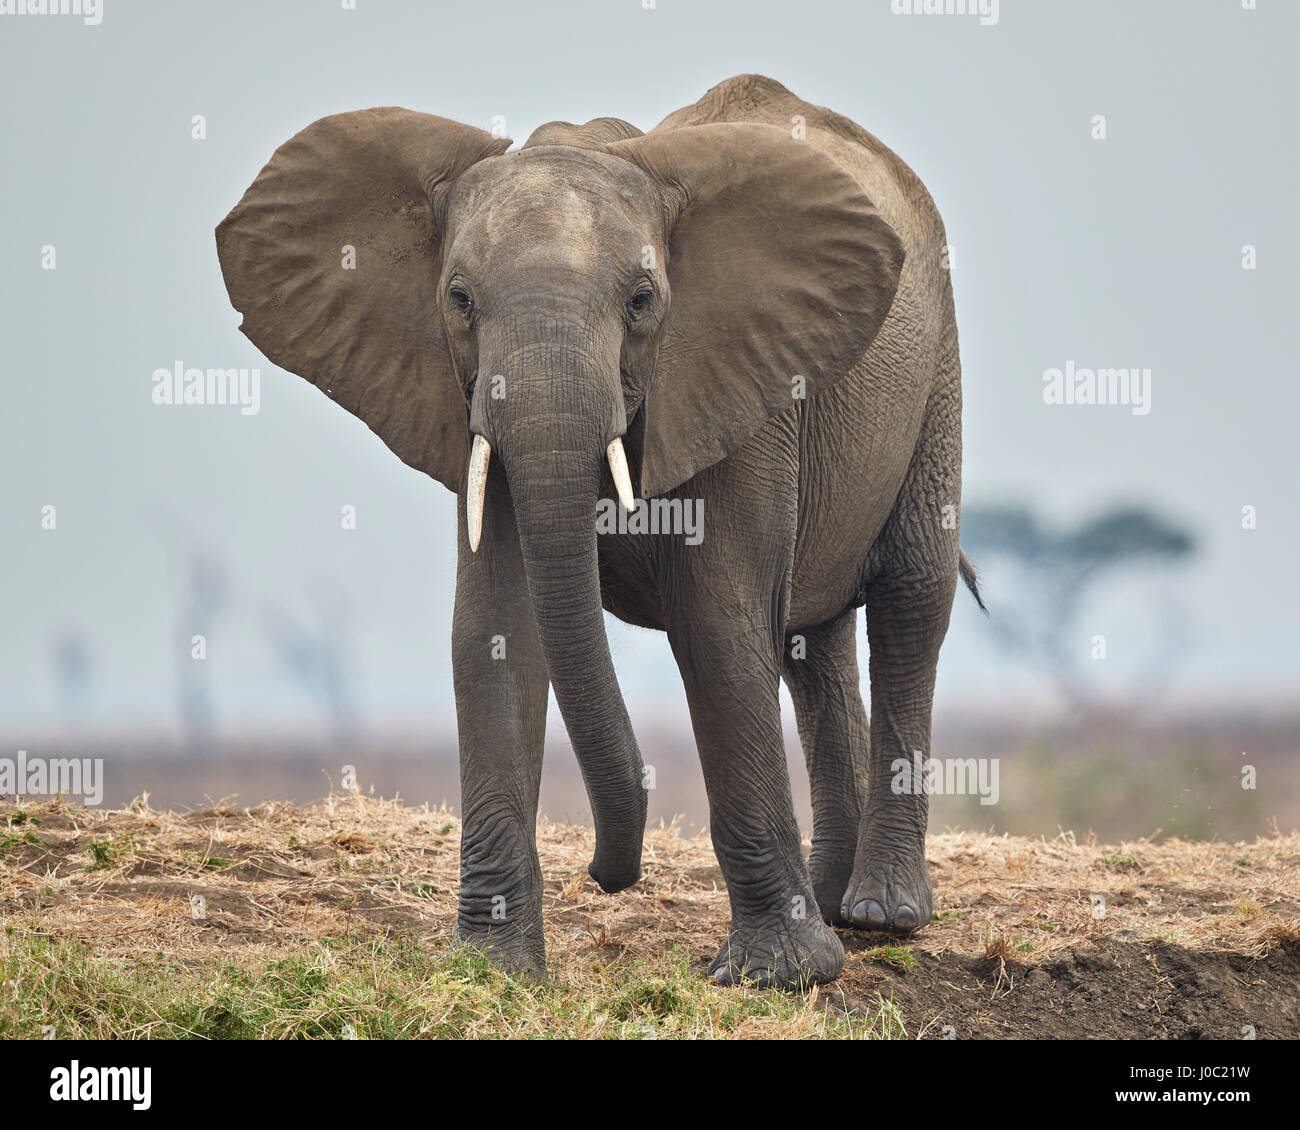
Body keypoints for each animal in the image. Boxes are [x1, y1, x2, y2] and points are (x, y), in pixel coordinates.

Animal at [218, 72, 977, 988]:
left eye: (642, 302)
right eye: (459, 300)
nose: (607, 873)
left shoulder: (741, 385)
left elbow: (720, 627)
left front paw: (778, 977)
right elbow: (496, 630)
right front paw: (494, 972)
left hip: (938, 373)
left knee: (909, 606)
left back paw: (880, 916)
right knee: (812, 645)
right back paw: (834, 906)